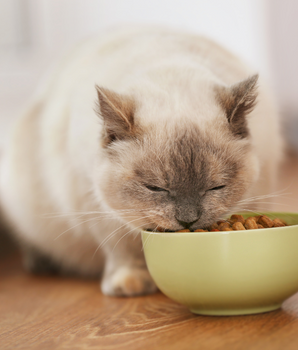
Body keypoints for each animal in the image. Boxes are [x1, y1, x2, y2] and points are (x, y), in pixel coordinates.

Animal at [0, 26, 282, 296]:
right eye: (155, 188)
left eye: (216, 187)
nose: (188, 221)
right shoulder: (98, 208)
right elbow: (123, 250)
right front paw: (131, 284)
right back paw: (39, 262)